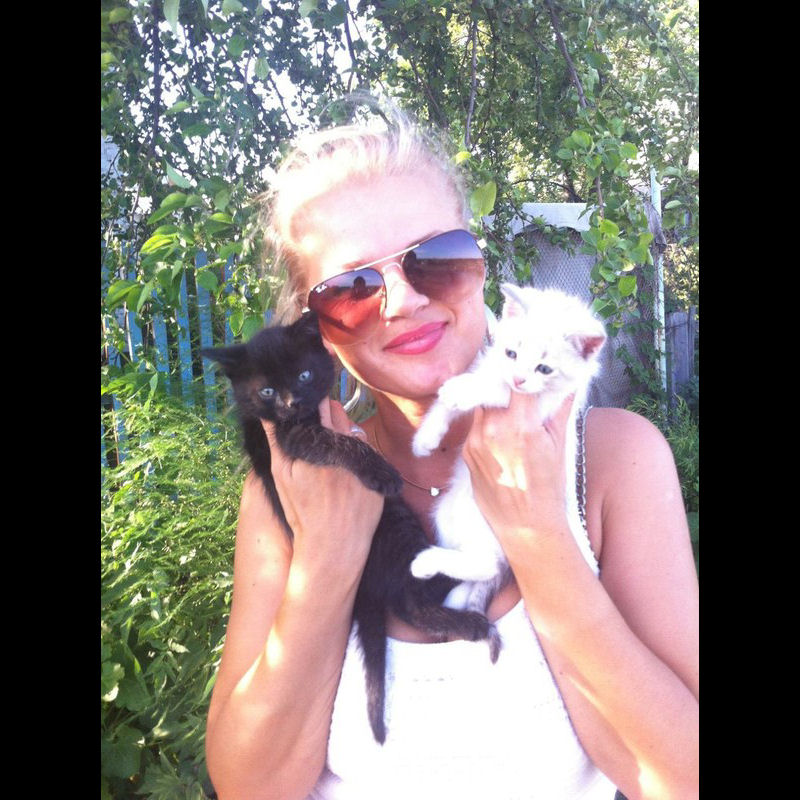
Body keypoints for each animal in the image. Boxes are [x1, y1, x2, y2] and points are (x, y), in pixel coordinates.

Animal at [201, 311, 496, 744]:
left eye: (305, 375)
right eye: (267, 390)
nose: (292, 402)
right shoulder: (291, 437)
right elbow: (336, 442)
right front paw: (380, 471)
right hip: (397, 528)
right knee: (411, 601)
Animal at [409, 284, 606, 628]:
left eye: (544, 368)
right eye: (511, 353)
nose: (518, 378)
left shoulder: (546, 406)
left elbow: (498, 390)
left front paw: (463, 390)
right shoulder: (491, 365)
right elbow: (447, 406)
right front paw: (425, 438)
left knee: (488, 564)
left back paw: (427, 563)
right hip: (447, 511)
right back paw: (456, 595)